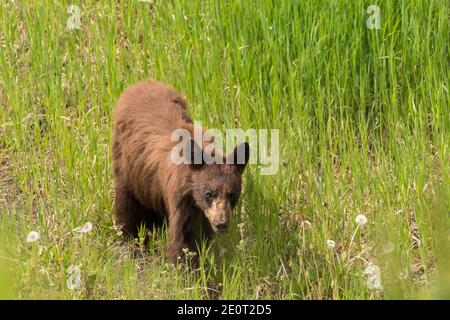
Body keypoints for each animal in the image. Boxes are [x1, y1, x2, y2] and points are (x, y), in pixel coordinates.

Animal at [110, 79, 248, 264]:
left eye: (232, 194)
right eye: (209, 194)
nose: (221, 223)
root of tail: (141, 83)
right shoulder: (181, 197)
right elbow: (184, 236)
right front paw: (188, 266)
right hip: (128, 167)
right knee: (127, 202)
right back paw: (130, 239)